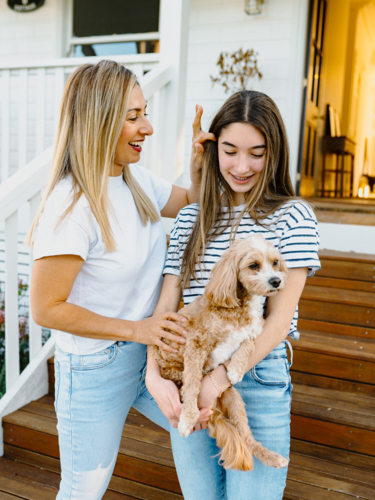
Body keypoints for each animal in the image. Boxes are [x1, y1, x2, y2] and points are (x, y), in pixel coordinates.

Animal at [151, 234, 290, 472]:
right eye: (254, 265)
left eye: (275, 263)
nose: (276, 281)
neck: (241, 305)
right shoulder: (196, 345)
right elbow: (192, 384)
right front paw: (187, 419)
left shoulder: (255, 332)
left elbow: (248, 344)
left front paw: (235, 369)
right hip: (178, 377)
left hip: (234, 400)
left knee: (247, 437)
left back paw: (272, 457)